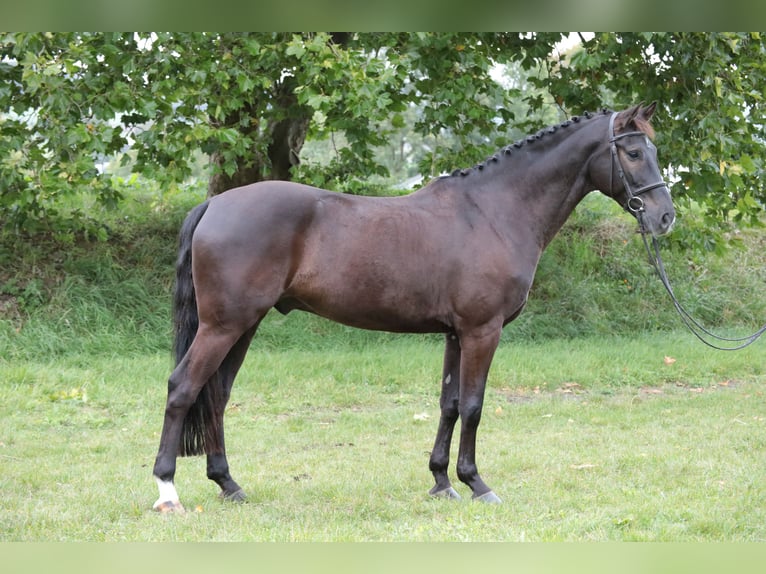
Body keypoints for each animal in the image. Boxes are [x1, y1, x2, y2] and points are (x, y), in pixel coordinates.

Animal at [153, 102, 676, 512]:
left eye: (653, 151)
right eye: (633, 153)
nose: (665, 217)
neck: (493, 212)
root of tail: (215, 205)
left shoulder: (455, 333)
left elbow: (449, 404)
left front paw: (442, 481)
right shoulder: (482, 331)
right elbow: (474, 405)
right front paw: (477, 483)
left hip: (243, 326)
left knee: (216, 395)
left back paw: (228, 484)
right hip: (224, 325)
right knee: (183, 388)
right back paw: (167, 490)